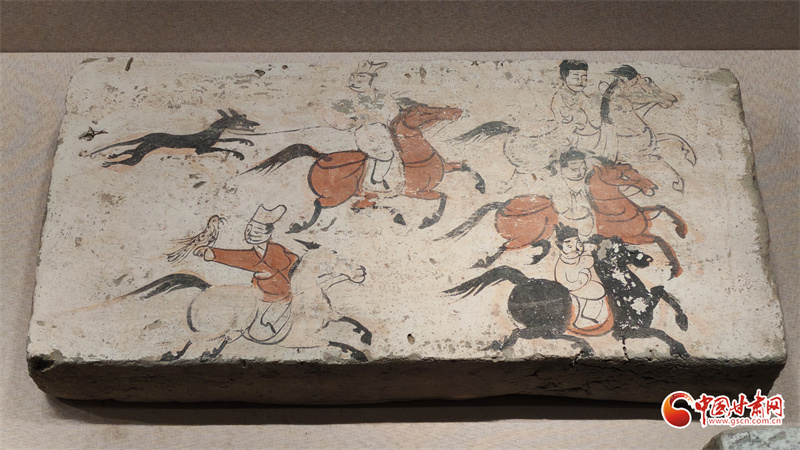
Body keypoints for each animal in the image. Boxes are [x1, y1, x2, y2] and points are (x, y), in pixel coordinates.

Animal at [87, 109, 259, 167]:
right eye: (240, 120)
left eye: (244, 117)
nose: (255, 123)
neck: (211, 132)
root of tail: (147, 135)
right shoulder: (201, 149)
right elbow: (223, 146)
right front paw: (239, 153)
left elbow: (227, 141)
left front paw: (246, 141)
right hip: (143, 151)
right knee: (129, 160)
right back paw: (109, 163)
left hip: (145, 147)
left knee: (128, 151)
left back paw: (112, 156)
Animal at [119, 248, 372, 362]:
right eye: (334, 262)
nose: (362, 271)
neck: (309, 299)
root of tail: (207, 287)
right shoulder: (297, 340)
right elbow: (330, 341)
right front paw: (358, 353)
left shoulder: (332, 315)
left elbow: (350, 319)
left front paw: (366, 337)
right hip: (217, 324)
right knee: (196, 337)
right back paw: (179, 354)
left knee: (219, 337)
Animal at [245, 102, 485, 232]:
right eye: (423, 112)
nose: (455, 112)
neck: (415, 156)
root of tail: (322, 157)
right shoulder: (414, 191)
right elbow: (443, 196)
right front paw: (429, 221)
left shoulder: (447, 169)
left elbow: (466, 168)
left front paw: (481, 187)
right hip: (339, 195)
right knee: (320, 203)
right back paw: (301, 227)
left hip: (362, 194)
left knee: (361, 205)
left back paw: (397, 216)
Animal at [438, 161, 688, 278]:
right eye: (624, 176)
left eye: (634, 170)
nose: (652, 188)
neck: (613, 208)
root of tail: (502, 204)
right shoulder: (633, 237)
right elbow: (661, 240)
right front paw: (675, 268)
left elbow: (664, 208)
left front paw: (682, 229)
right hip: (527, 234)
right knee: (504, 247)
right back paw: (483, 262)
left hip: (541, 231)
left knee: (540, 243)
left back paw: (536, 256)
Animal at [445, 237, 690, 358]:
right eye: (621, 250)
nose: (647, 259)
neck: (625, 293)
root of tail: (523, 282)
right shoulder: (625, 330)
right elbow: (660, 331)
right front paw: (679, 347)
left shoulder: (647, 304)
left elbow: (662, 291)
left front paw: (683, 322)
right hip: (547, 324)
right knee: (524, 334)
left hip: (552, 325)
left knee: (549, 336)